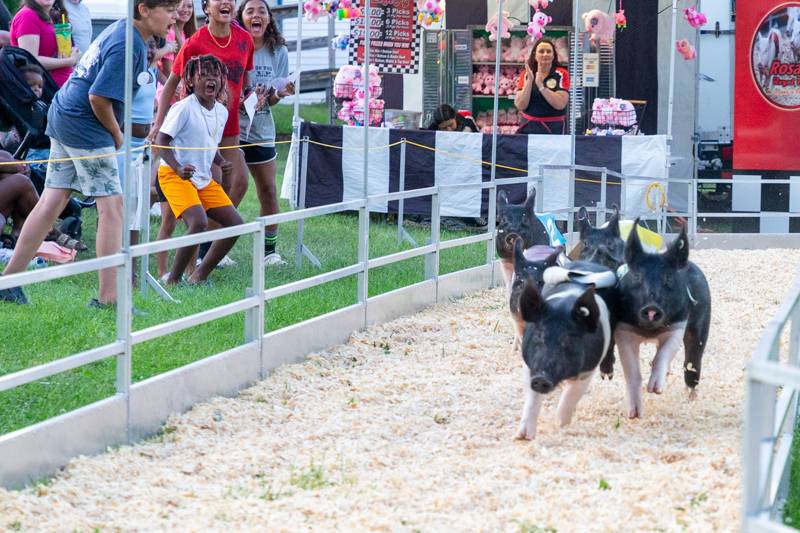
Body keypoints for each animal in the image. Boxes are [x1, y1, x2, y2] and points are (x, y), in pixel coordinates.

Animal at [512, 280, 612, 438]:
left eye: (569, 340)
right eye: (539, 335)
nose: (541, 378)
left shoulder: (587, 372)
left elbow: (570, 398)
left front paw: (559, 426)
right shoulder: (529, 366)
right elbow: (532, 399)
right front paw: (522, 437)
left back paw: (607, 375)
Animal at [616, 221, 708, 420]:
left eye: (668, 277)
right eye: (637, 276)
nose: (651, 308)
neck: (649, 332)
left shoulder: (677, 326)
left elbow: (663, 354)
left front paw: (655, 390)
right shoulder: (624, 330)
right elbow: (632, 372)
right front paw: (634, 415)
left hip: (701, 325)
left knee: (692, 361)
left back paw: (690, 399)